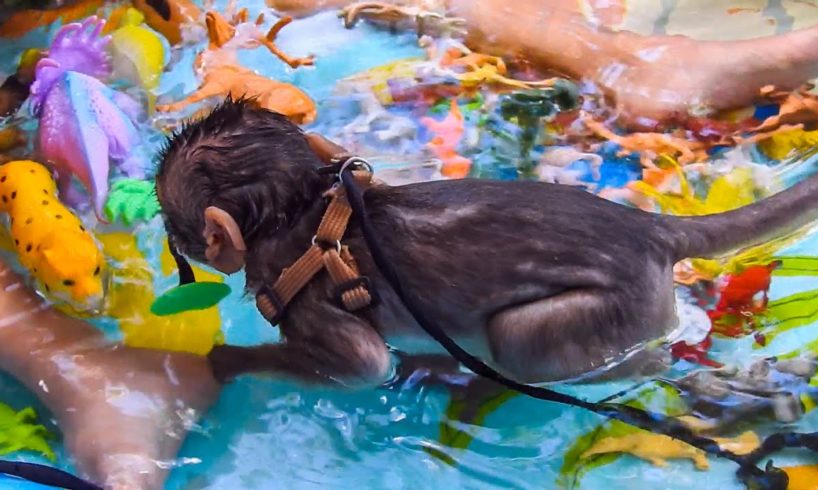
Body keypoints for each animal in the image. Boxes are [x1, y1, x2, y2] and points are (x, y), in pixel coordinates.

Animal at [156, 99, 816, 388]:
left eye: (169, 217)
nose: (168, 235)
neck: (307, 208)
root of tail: (651, 228)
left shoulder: (299, 297)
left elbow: (364, 366)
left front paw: (232, 361)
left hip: (609, 311)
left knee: (521, 340)